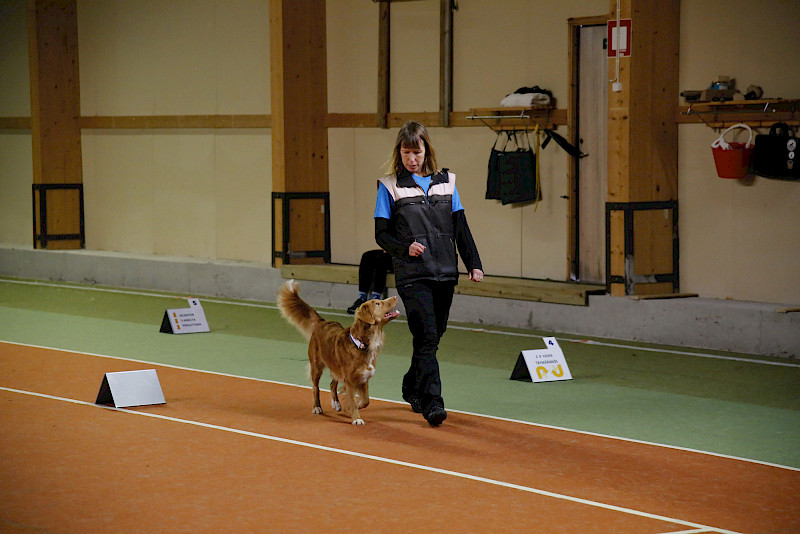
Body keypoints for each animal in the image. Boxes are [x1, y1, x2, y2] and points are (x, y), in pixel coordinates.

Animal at [278, 280, 400, 428]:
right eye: (377, 303)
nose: (395, 297)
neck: (362, 344)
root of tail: (323, 322)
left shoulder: (364, 377)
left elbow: (365, 401)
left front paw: (352, 407)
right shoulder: (350, 380)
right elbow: (352, 400)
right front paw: (356, 417)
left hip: (335, 366)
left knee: (332, 384)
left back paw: (336, 403)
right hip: (316, 366)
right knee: (315, 388)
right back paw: (317, 407)